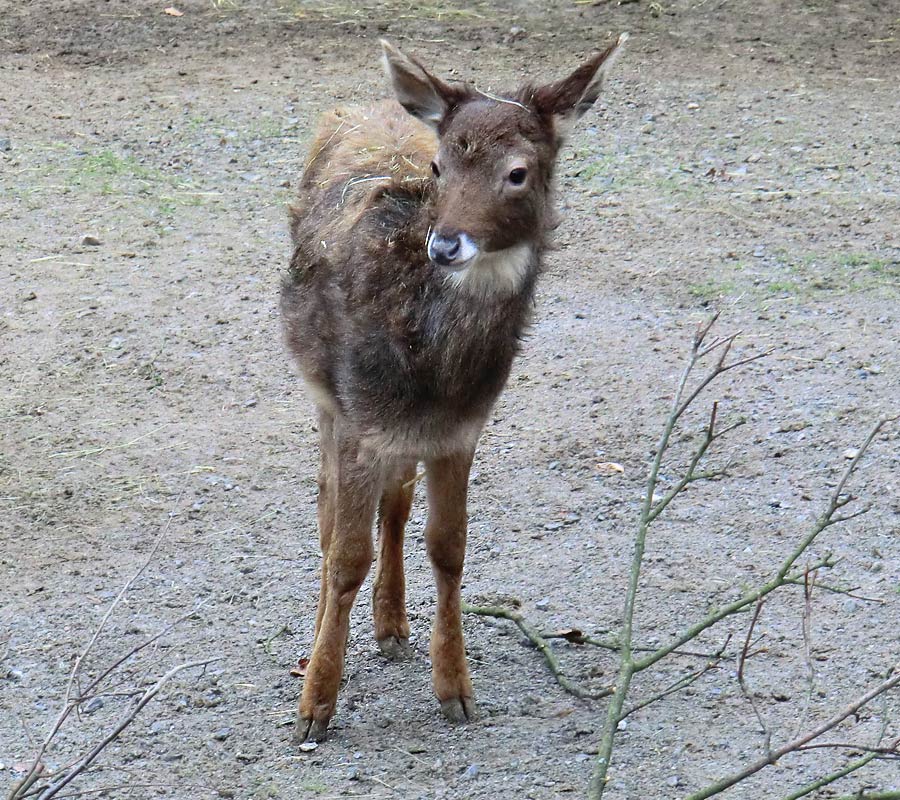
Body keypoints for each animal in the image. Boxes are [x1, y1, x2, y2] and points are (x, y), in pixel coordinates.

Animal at [282, 32, 624, 744]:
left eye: (517, 172)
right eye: (439, 167)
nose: (445, 245)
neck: (436, 367)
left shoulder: (463, 429)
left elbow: (449, 548)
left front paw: (457, 691)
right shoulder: (359, 418)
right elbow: (346, 553)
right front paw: (314, 706)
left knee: (396, 503)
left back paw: (391, 624)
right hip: (325, 397)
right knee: (327, 515)